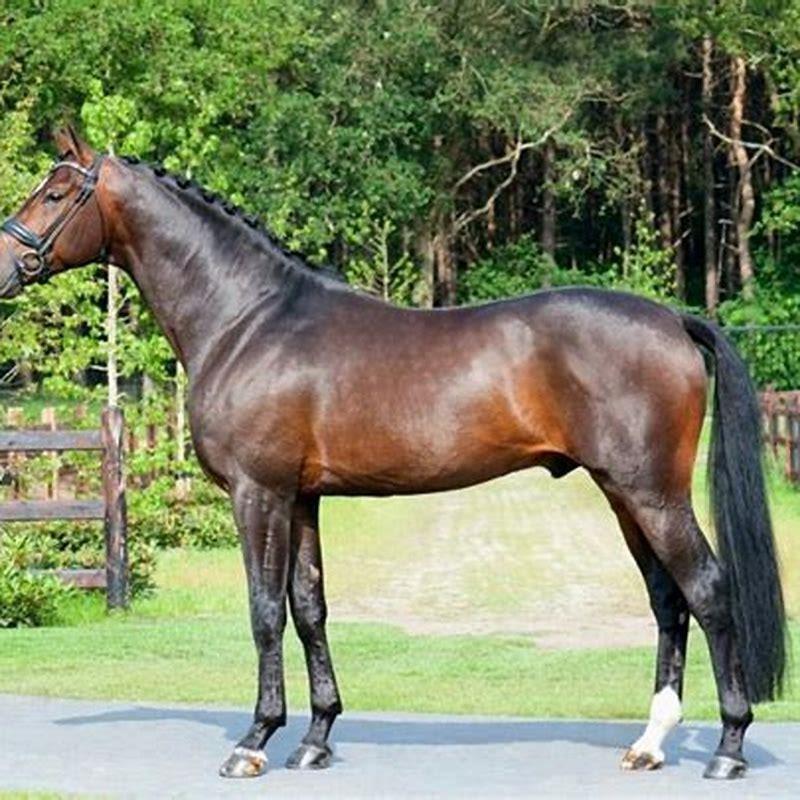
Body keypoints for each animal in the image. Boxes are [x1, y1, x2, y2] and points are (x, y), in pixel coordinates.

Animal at [0, 126, 785, 782]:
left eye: (57, 192)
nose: (5, 265)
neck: (248, 319)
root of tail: (675, 320)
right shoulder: (302, 498)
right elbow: (310, 607)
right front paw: (316, 737)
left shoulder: (258, 493)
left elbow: (264, 610)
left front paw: (254, 741)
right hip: (623, 493)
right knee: (667, 599)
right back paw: (650, 743)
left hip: (653, 493)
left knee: (707, 590)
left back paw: (728, 748)